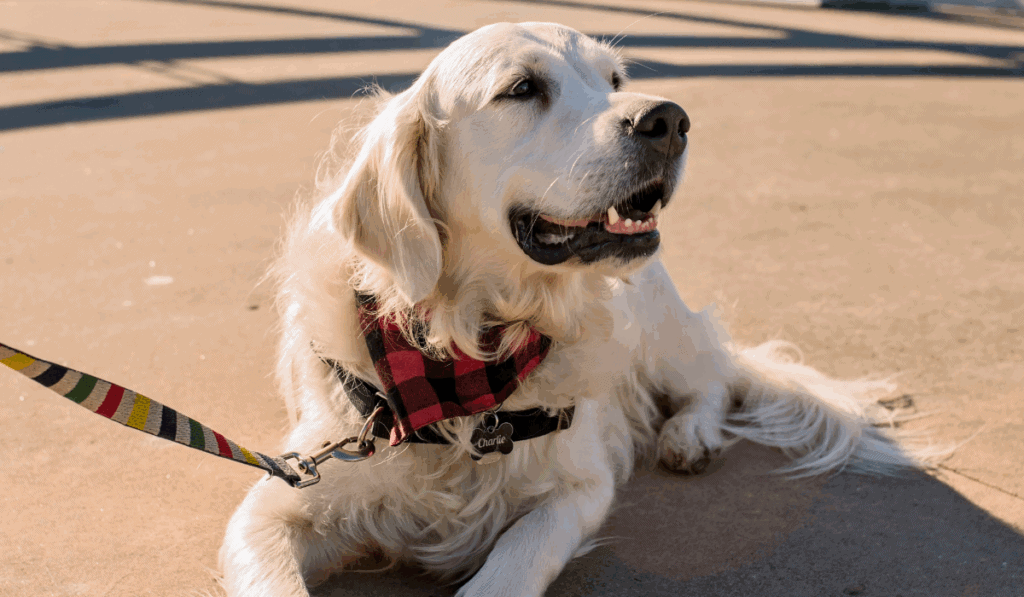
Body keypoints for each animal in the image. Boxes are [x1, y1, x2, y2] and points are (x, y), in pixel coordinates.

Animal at [219, 22, 917, 597]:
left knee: (712, 378)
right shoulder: (279, 501)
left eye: (615, 80)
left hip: (660, 328)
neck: (469, 357)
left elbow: (518, 555)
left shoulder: (581, 484)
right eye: (522, 88)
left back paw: (689, 435)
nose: (669, 120)